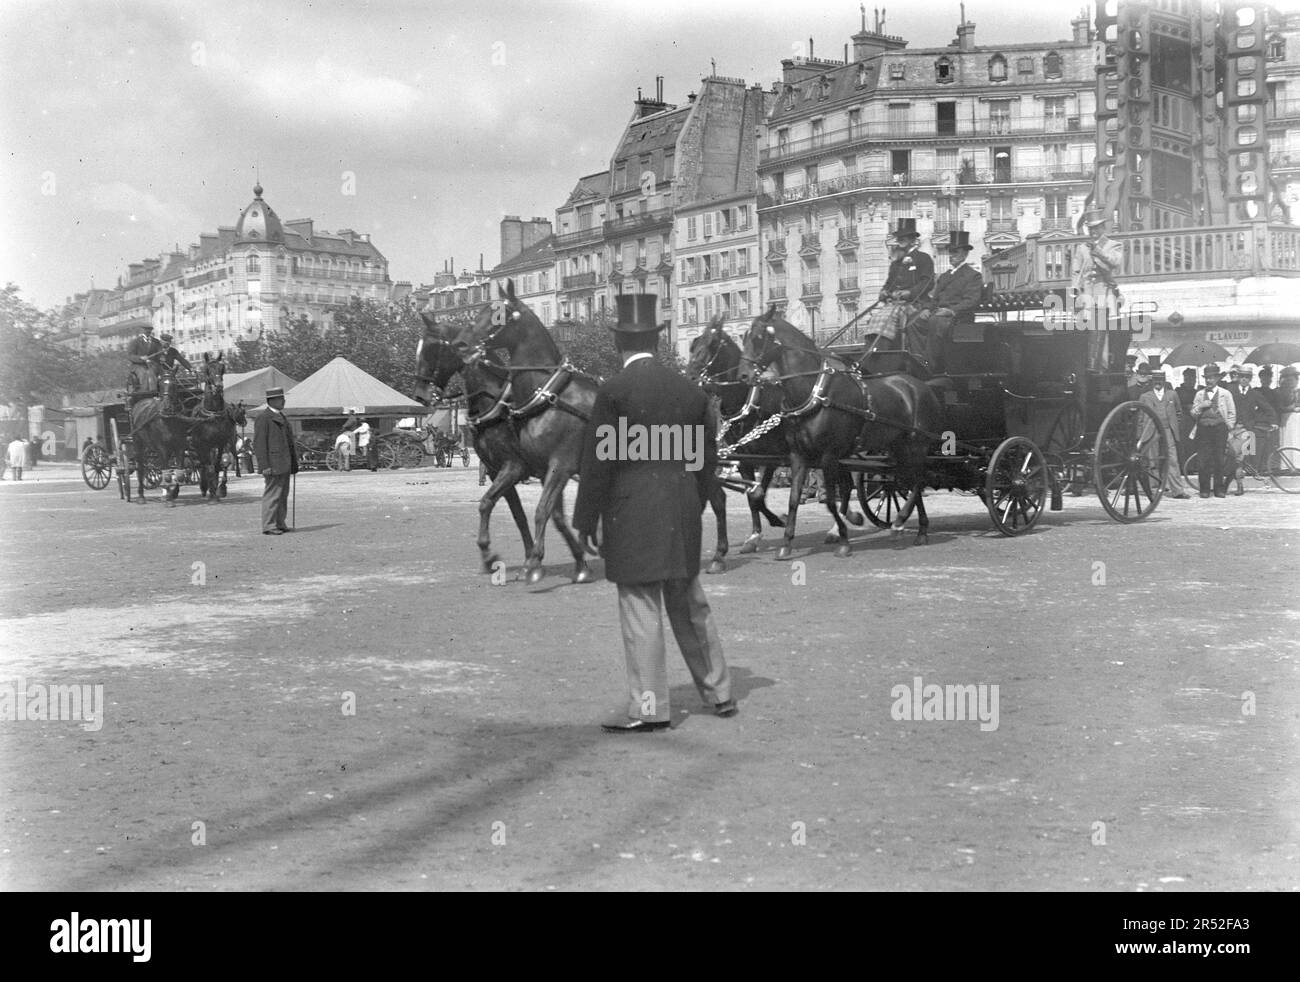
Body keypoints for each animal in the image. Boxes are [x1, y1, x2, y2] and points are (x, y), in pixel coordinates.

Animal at [738, 306, 941, 554]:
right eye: (744, 338)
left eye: (759, 338)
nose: (743, 376)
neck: (814, 391)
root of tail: (922, 385)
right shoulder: (798, 455)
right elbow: (793, 498)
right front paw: (786, 542)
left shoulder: (829, 455)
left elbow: (830, 500)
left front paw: (843, 538)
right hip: (898, 447)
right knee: (909, 482)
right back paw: (918, 529)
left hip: (917, 444)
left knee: (919, 480)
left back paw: (900, 521)